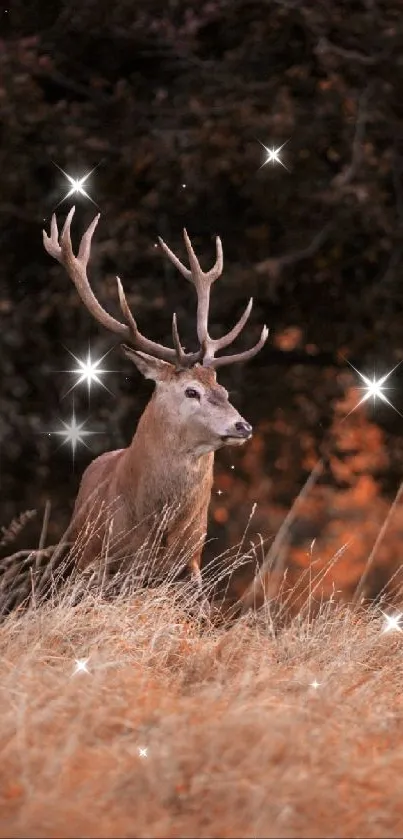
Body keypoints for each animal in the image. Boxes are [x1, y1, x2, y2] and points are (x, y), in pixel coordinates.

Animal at [43, 207, 268, 608]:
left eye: (223, 389)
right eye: (191, 391)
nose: (243, 426)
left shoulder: (190, 565)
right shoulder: (98, 561)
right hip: (73, 550)